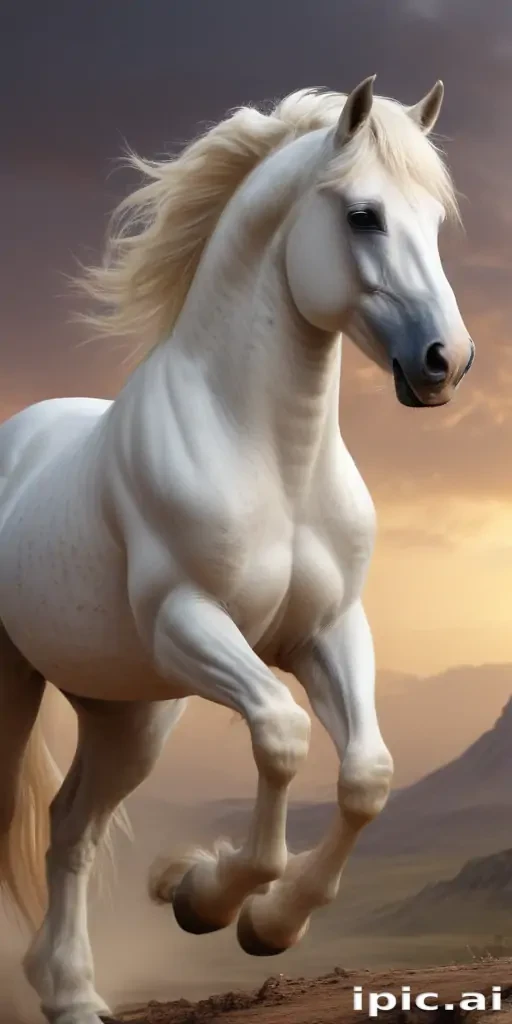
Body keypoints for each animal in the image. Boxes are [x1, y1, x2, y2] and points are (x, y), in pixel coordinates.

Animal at [0, 76, 474, 1024]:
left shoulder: (329, 631)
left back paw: (73, 994)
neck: (268, 457)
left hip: (129, 712)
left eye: (435, 219)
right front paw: (206, 896)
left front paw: (261, 919)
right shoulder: (192, 624)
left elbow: (367, 775)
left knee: (71, 827)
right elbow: (283, 736)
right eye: (364, 215)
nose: (448, 362)